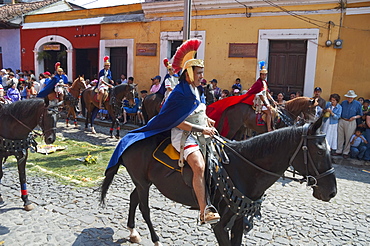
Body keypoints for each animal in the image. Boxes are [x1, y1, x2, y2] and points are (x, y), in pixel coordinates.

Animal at [100, 117, 336, 246]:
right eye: (318, 150)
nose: (331, 191)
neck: (243, 169)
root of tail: (129, 137)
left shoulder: (239, 221)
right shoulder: (220, 225)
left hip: (144, 182)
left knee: (134, 198)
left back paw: (133, 232)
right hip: (142, 182)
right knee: (145, 207)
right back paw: (155, 238)